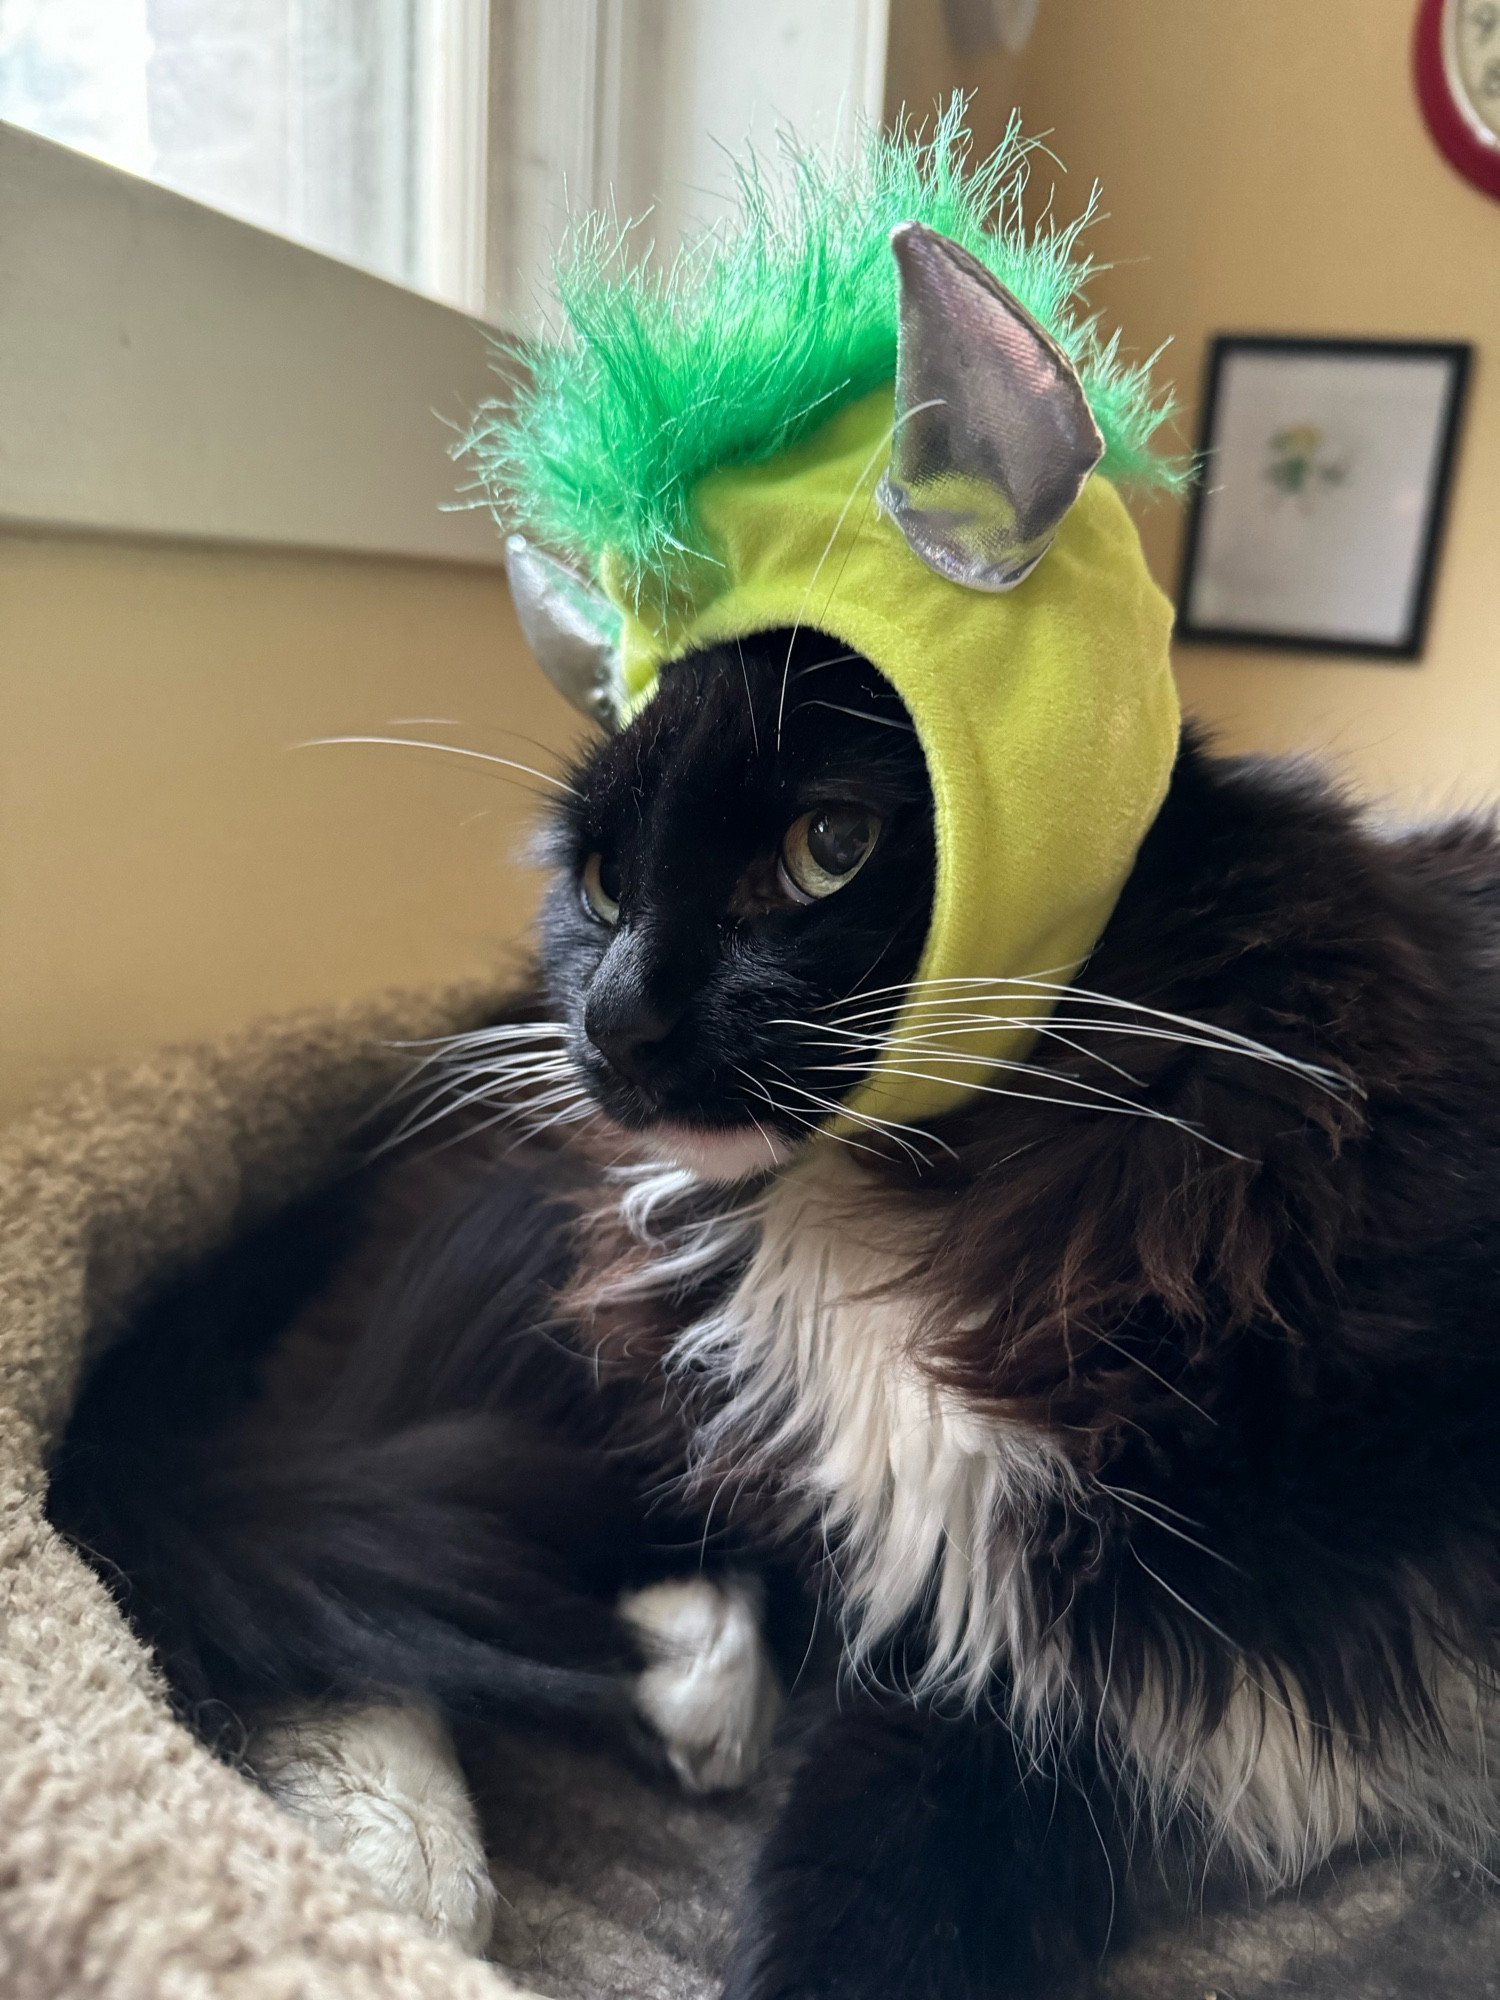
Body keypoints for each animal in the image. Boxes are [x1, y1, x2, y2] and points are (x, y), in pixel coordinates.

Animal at [47, 628, 1500, 2000]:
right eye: (603, 885)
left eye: (830, 849)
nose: (609, 1019)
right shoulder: (963, 1667)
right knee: (347, 1515)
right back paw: (414, 1859)